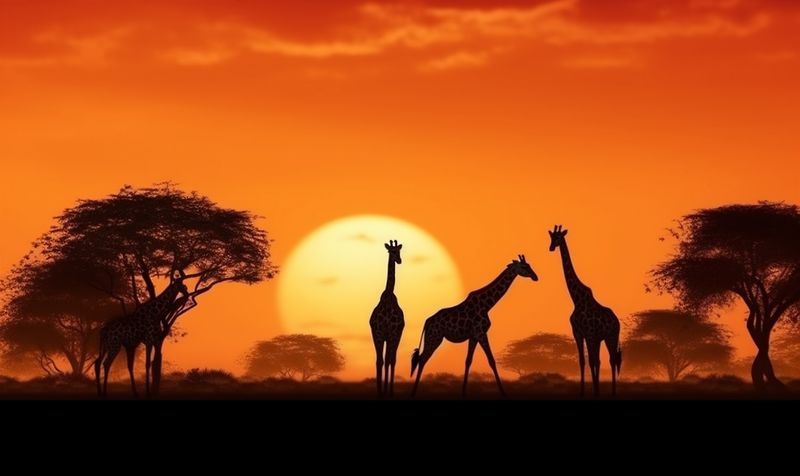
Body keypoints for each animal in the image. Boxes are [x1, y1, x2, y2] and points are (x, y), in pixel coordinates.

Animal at [410, 255, 538, 398]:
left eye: (529, 265)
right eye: (524, 266)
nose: (535, 277)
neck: (487, 305)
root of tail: (427, 322)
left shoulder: (474, 336)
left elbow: (468, 361)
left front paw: (464, 393)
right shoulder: (481, 332)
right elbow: (491, 360)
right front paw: (504, 393)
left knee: (421, 359)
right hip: (435, 337)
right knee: (422, 359)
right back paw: (413, 393)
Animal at [549, 225, 622, 398]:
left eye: (558, 237)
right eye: (551, 237)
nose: (551, 248)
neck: (576, 299)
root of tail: (617, 320)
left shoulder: (589, 334)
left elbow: (591, 361)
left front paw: (595, 392)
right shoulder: (578, 333)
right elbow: (583, 361)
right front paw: (583, 392)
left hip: (612, 336)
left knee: (612, 360)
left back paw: (613, 393)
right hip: (602, 338)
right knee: (602, 360)